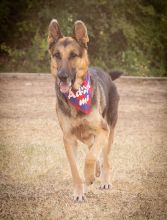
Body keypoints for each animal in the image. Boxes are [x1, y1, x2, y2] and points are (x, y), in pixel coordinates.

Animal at [47, 19, 120, 202]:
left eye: (74, 55)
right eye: (57, 55)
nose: (62, 76)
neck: (76, 96)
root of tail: (107, 74)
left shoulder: (102, 130)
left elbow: (91, 157)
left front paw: (89, 176)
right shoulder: (68, 139)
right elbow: (75, 169)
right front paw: (79, 192)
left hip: (110, 132)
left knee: (105, 157)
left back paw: (104, 180)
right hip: (87, 136)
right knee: (93, 148)